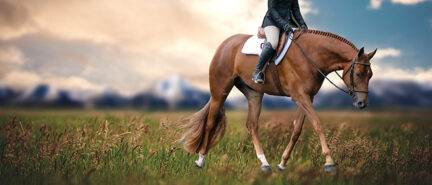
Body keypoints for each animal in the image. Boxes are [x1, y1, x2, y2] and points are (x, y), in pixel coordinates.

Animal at [181, 29, 376, 173]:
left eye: (371, 75)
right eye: (359, 74)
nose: (362, 104)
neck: (311, 55)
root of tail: (224, 45)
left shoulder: (307, 97)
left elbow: (297, 130)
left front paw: (282, 164)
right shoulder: (300, 97)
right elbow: (318, 124)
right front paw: (329, 162)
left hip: (254, 94)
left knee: (252, 125)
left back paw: (264, 163)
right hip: (220, 91)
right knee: (210, 122)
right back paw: (200, 160)